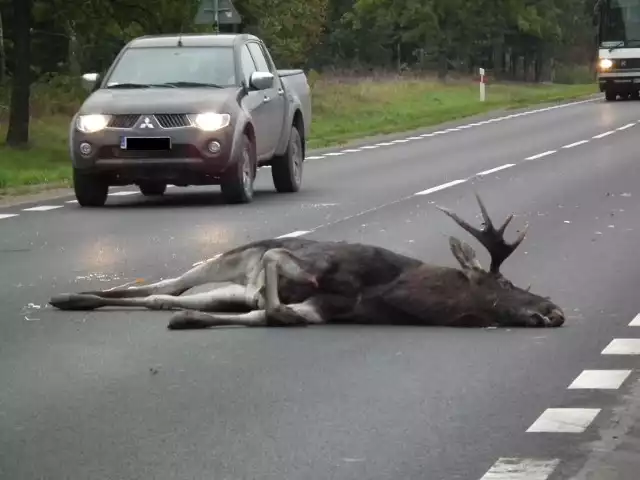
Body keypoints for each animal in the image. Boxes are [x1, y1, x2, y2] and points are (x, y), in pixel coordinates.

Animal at [51, 192, 568, 330]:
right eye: (506, 284)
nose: (555, 309)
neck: (395, 296)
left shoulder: (324, 312)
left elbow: (273, 314)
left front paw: (191, 322)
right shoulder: (312, 269)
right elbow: (278, 269)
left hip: (225, 287)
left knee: (164, 297)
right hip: (225, 259)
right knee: (163, 285)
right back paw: (69, 295)